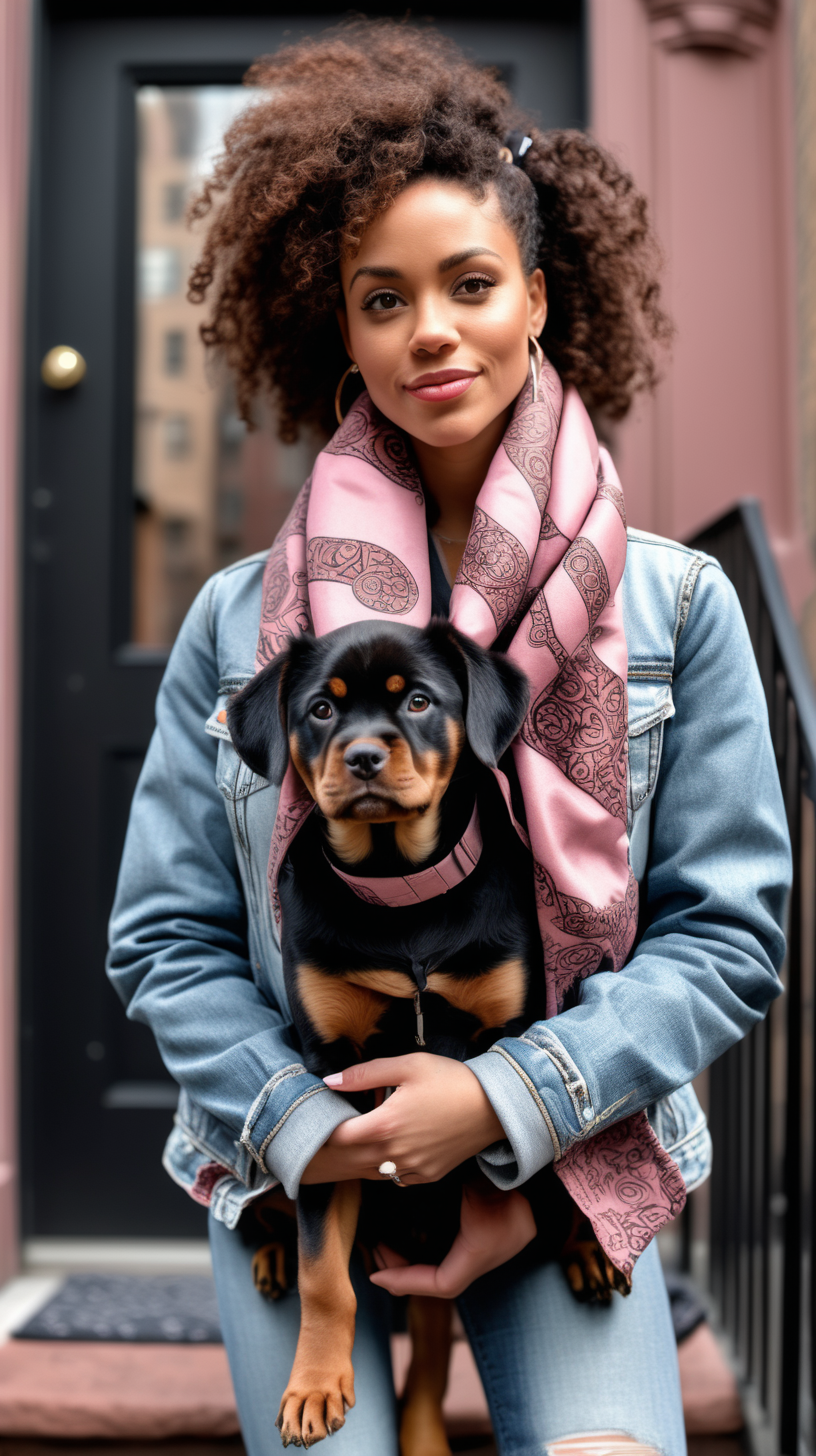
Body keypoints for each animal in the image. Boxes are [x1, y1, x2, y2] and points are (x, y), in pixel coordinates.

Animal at [230, 620, 632, 1450]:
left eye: (417, 701)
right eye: (321, 709)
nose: (362, 757)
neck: (399, 891)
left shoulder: (509, 1033)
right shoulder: (328, 1080)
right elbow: (325, 1270)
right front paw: (313, 1385)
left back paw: (585, 1255)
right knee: (284, 1222)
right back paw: (276, 1252)